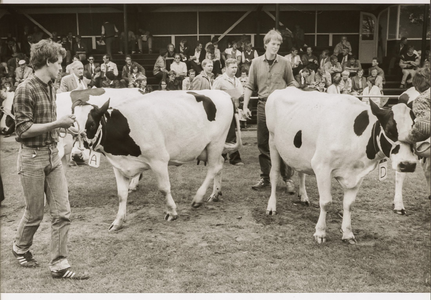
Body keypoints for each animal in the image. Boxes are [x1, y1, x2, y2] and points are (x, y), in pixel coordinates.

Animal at [74, 88, 241, 231]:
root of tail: (223, 93)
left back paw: (198, 198)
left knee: (213, 168)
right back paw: (215, 194)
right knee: (219, 164)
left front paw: (172, 212)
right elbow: (121, 195)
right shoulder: (119, 166)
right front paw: (118, 221)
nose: (77, 155)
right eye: (71, 126)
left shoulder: (159, 160)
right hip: (204, 148)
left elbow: (163, 188)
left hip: (216, 142)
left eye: (91, 124)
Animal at [266, 86, 418, 244]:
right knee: (274, 174)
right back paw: (271, 207)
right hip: (272, 142)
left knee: (301, 173)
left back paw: (304, 197)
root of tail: (283, 89)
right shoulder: (322, 167)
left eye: (416, 131)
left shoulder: (358, 173)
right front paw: (320, 232)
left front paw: (347, 233)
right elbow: (326, 202)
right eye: (389, 130)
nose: (408, 165)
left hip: (300, 154)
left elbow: (349, 204)